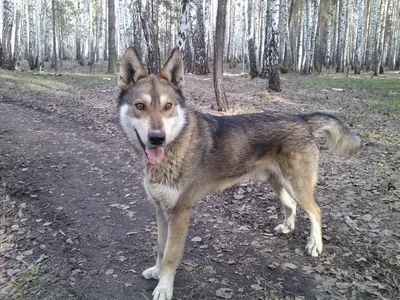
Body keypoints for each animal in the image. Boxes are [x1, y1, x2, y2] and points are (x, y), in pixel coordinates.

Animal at [116, 47, 362, 300]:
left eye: (168, 107)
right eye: (140, 106)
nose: (157, 138)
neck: (173, 149)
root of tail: (301, 119)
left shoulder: (180, 213)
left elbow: (170, 255)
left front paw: (164, 288)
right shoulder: (160, 210)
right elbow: (160, 248)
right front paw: (156, 272)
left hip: (297, 186)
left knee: (316, 212)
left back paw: (315, 245)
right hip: (278, 184)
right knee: (291, 206)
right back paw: (287, 227)